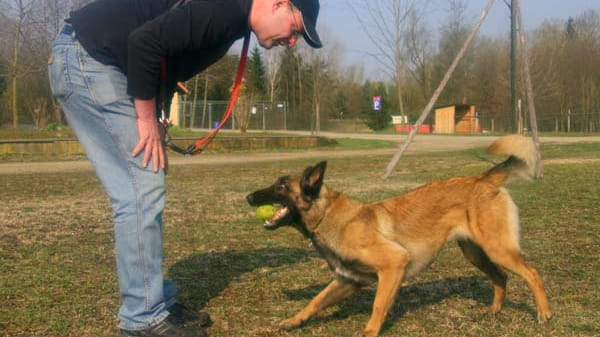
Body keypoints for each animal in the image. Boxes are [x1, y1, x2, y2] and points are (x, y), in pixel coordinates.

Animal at [245, 135, 552, 336]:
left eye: (281, 187)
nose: (248, 197)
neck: (327, 215)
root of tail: (483, 178)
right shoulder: (348, 279)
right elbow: (315, 301)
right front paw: (294, 321)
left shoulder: (393, 265)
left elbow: (379, 305)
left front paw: (369, 332)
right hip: (476, 253)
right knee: (501, 277)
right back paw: (494, 311)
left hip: (497, 248)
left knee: (532, 273)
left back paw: (544, 314)